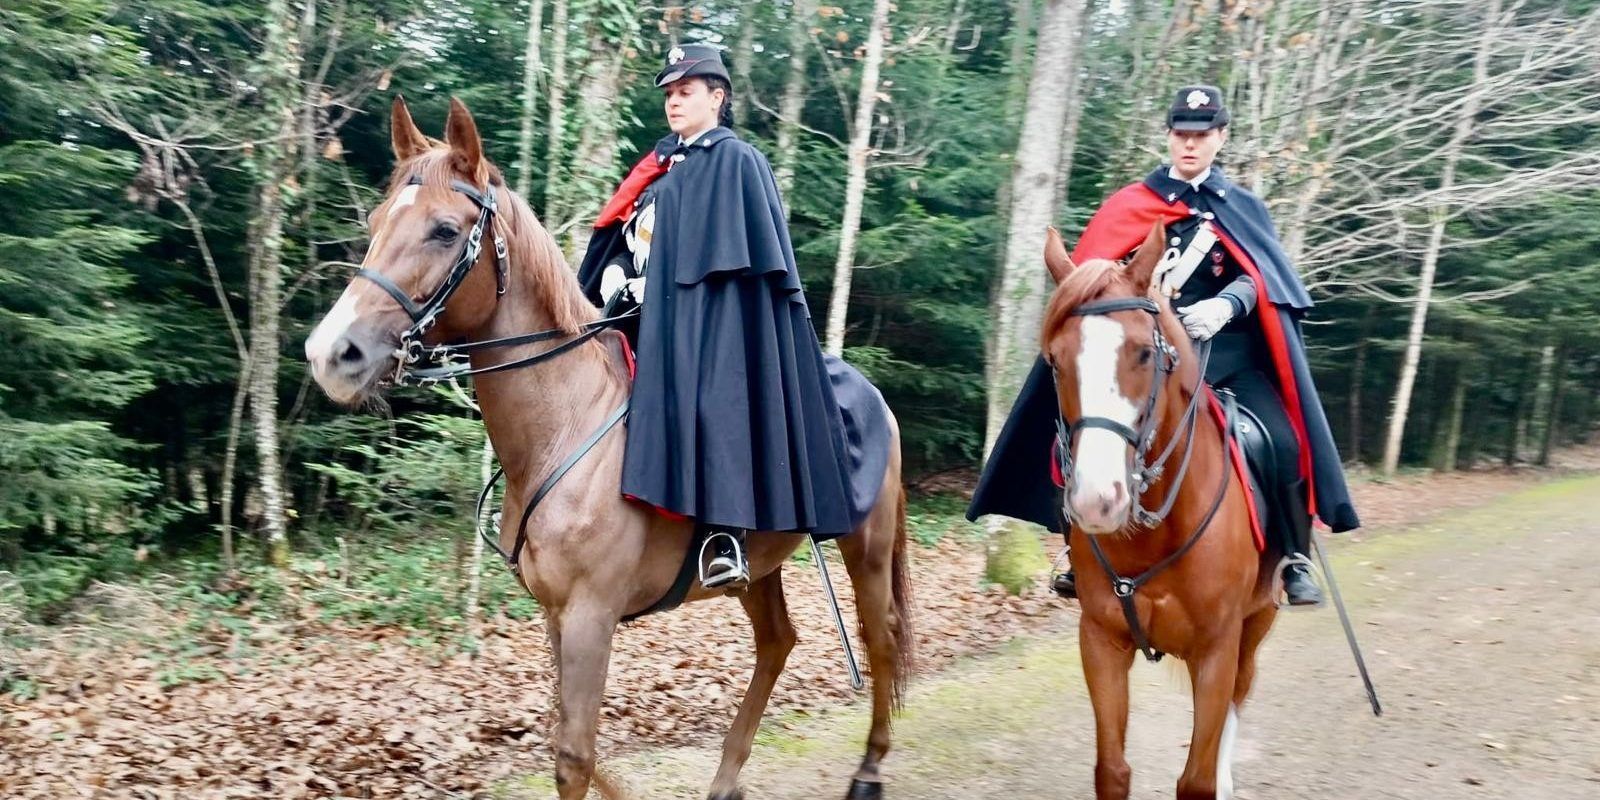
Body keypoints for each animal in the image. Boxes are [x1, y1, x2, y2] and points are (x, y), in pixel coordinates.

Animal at [304, 97, 913, 800]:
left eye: (444, 230)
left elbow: (573, 755)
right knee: (777, 642)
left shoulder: (593, 614)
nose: (331, 354)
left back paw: (869, 769)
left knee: (880, 635)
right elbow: (574, 744)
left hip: (865, 545)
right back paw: (728, 776)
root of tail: (871, 395)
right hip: (761, 563)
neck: (563, 428)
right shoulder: (557, 614)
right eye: (377, 222)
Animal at [1039, 223, 1279, 800]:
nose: (1097, 501)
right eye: (1055, 360)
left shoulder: (1216, 651)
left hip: (1257, 624)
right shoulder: (1101, 642)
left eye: (1145, 354)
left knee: (1239, 696)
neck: (1155, 534)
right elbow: (1112, 770)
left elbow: (1196, 780)